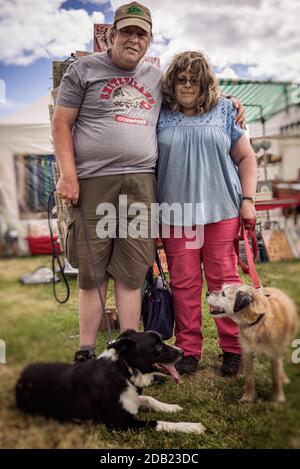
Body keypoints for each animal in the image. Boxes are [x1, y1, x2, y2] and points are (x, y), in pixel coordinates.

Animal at [15, 330, 205, 432]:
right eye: (158, 346)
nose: (182, 351)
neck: (123, 371)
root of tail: (21, 377)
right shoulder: (121, 423)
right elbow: (159, 423)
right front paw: (191, 427)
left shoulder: (132, 399)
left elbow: (149, 399)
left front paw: (172, 407)